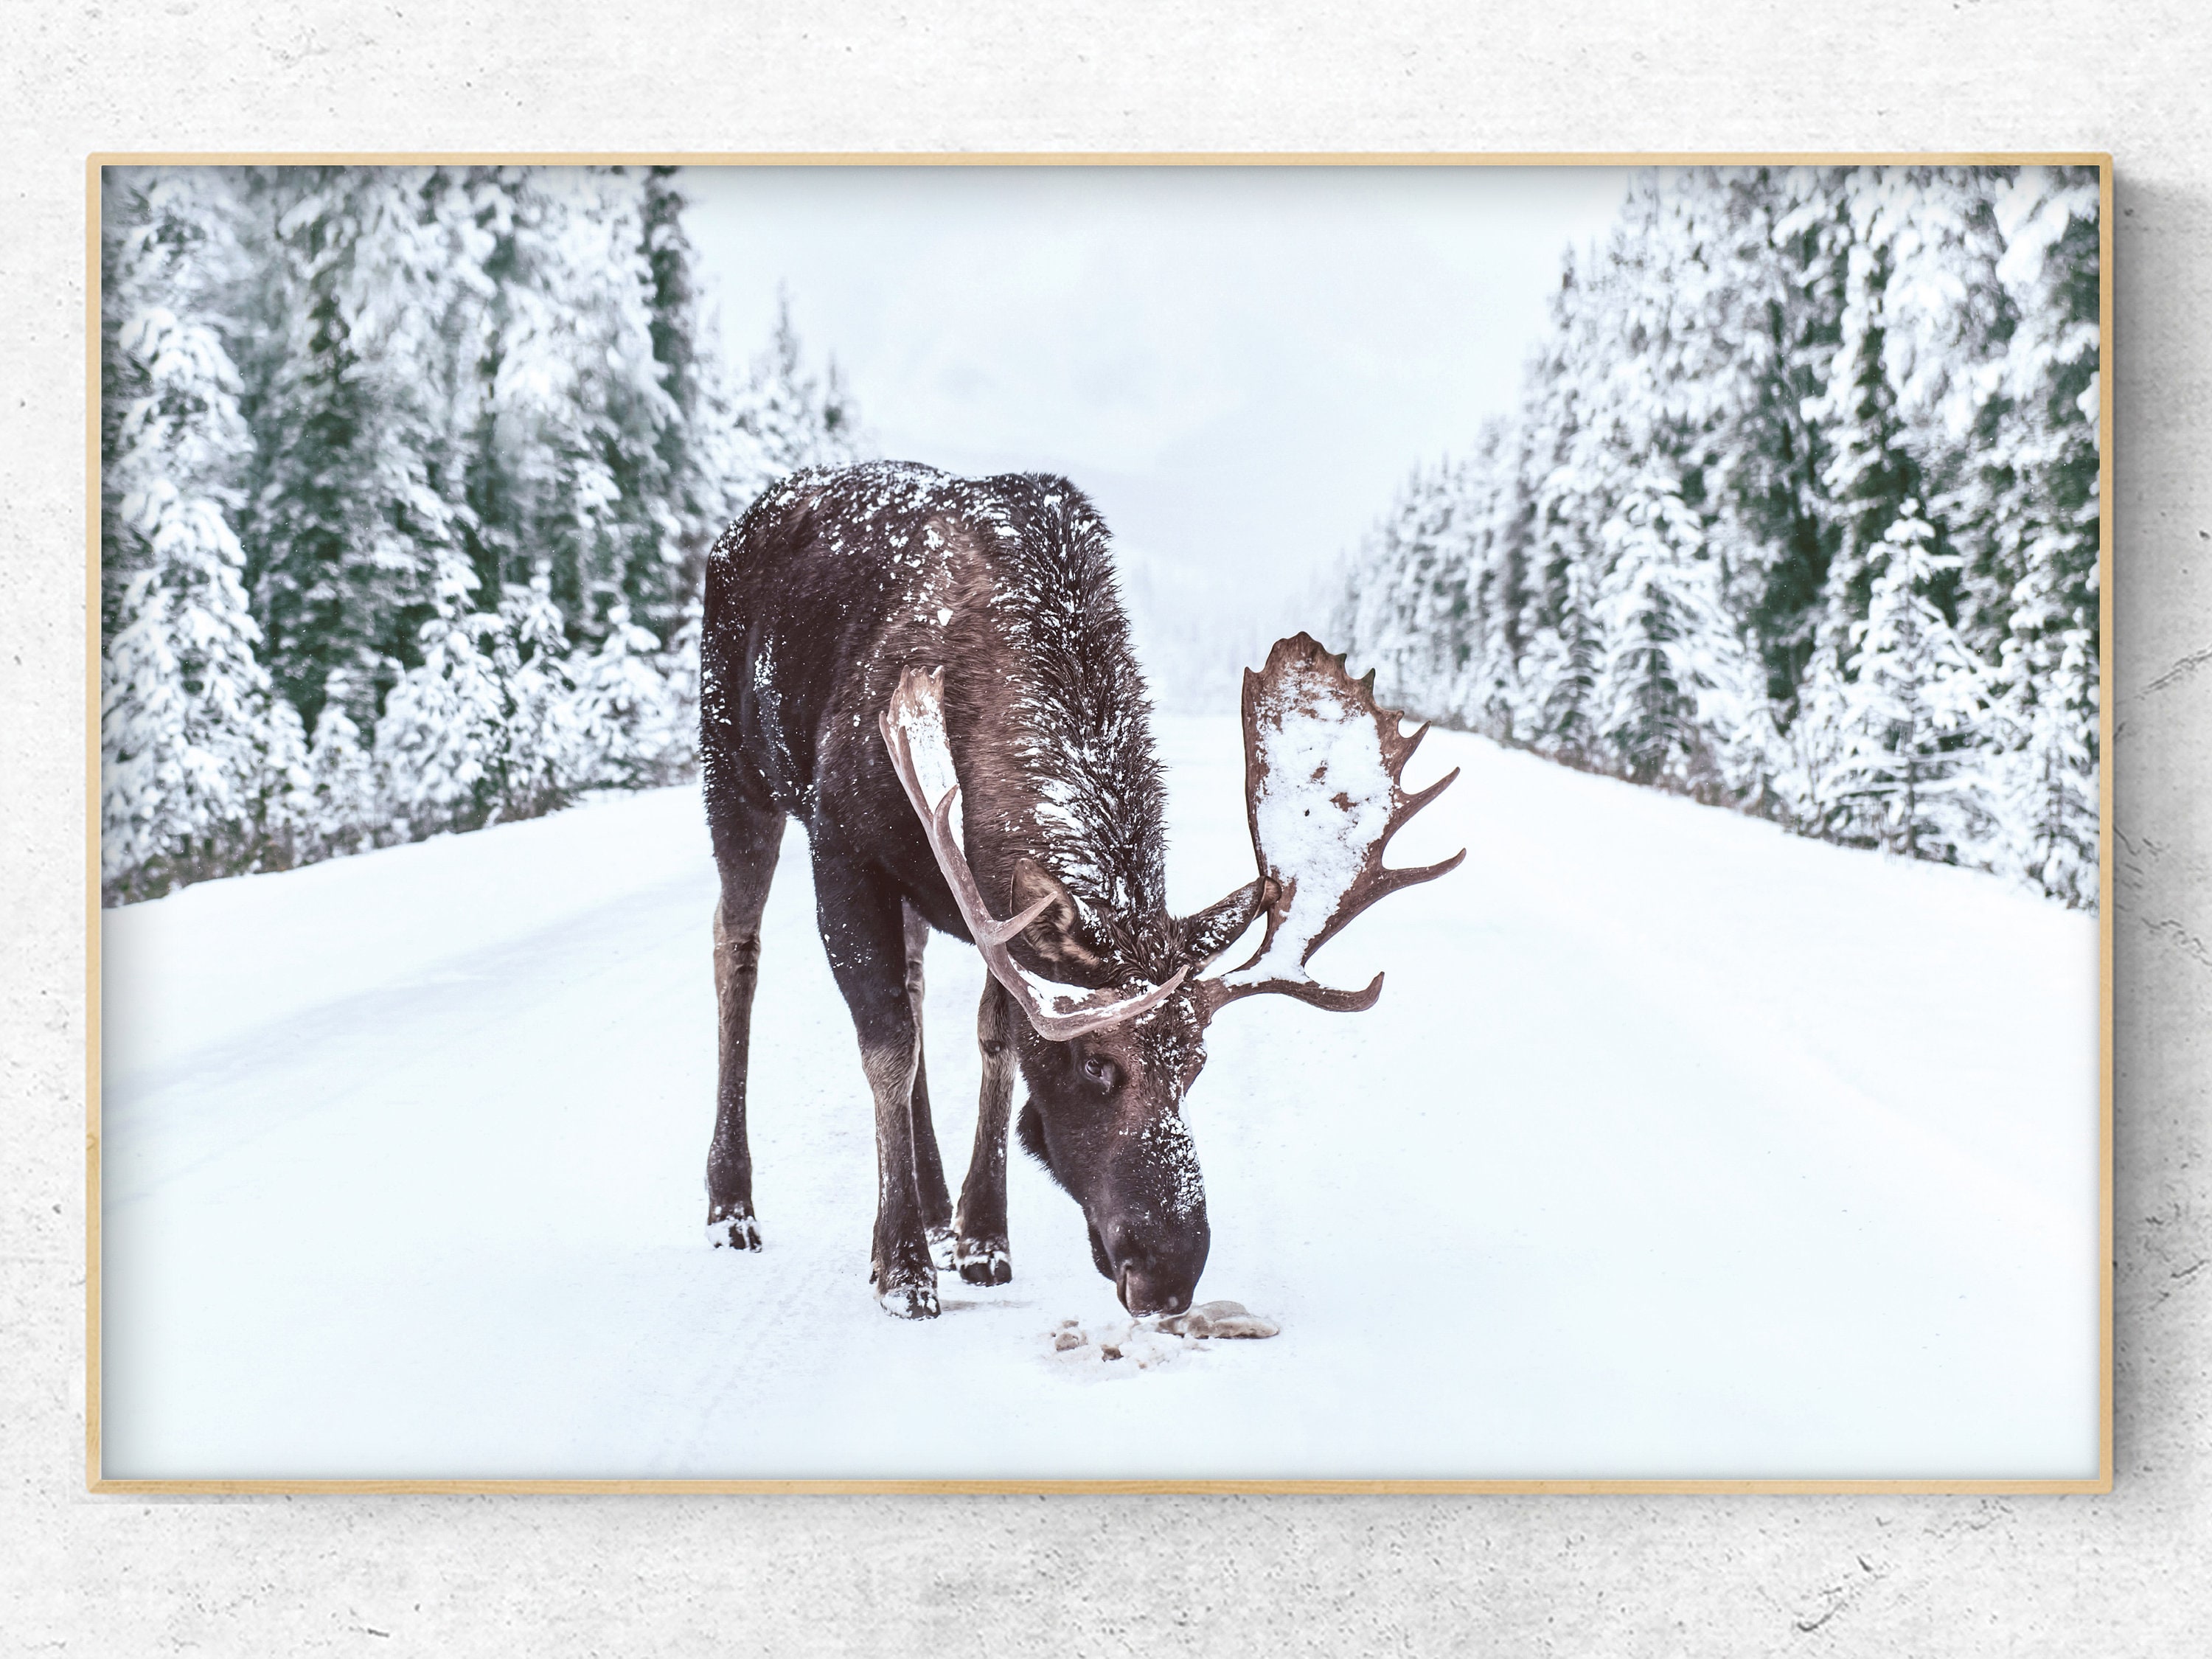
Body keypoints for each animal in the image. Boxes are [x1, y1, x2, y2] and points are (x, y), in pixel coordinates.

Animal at [698, 460, 1462, 1319]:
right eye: (1098, 1066)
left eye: (1197, 1064)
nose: (1169, 1274)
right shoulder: (842, 843)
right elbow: (887, 1046)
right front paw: (900, 1269)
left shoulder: (987, 903)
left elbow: (995, 1038)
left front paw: (982, 1236)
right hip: (734, 770)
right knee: (737, 948)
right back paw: (732, 1205)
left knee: (916, 981)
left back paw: (932, 1203)